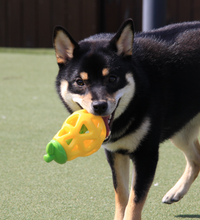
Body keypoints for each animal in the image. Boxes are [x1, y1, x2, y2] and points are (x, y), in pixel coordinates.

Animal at [52, 19, 200, 220]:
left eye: (112, 78)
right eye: (80, 82)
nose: (99, 106)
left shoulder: (146, 154)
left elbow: (134, 201)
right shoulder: (115, 153)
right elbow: (122, 195)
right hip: (180, 132)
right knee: (196, 158)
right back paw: (176, 192)